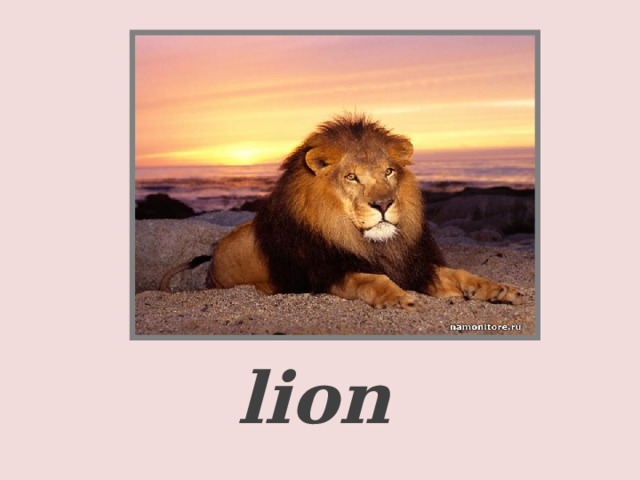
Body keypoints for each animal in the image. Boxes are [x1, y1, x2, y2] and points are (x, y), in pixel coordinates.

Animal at [161, 114, 524, 309]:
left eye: (388, 172)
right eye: (352, 177)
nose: (383, 204)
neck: (373, 244)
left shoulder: (415, 265)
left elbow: (461, 274)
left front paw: (500, 289)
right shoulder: (326, 272)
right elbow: (370, 278)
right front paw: (397, 296)